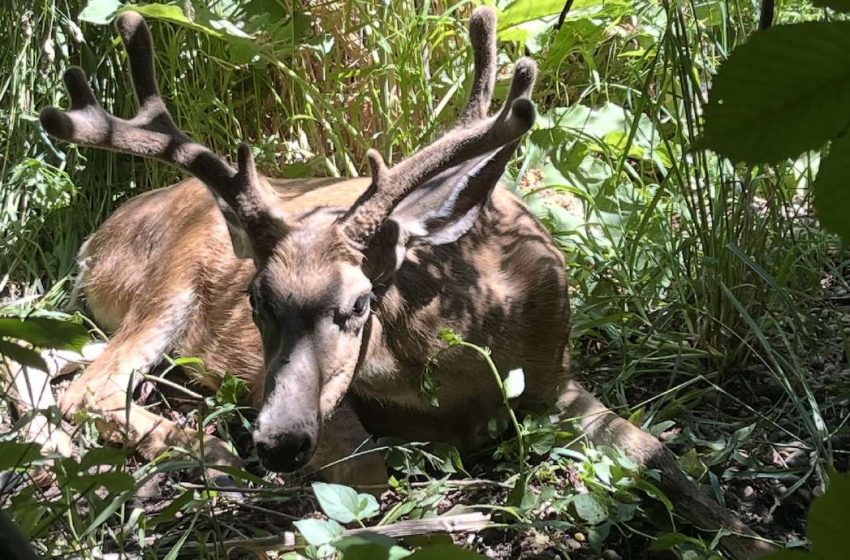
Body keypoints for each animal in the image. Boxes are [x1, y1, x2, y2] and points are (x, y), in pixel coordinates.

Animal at [24, 7, 775, 558]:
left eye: (360, 302)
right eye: (256, 300)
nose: (277, 442)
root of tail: (100, 235)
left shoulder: (558, 374)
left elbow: (659, 454)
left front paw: (751, 534)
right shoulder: (307, 394)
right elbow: (368, 474)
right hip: (170, 286)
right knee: (91, 387)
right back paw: (209, 451)